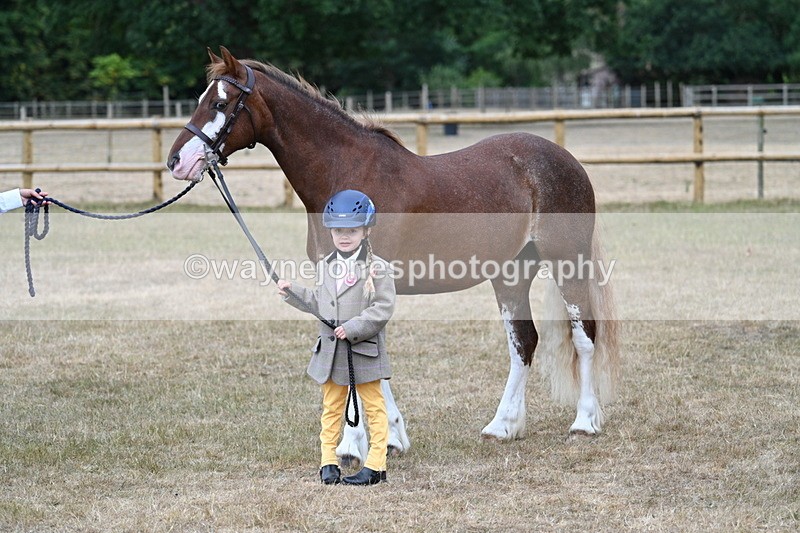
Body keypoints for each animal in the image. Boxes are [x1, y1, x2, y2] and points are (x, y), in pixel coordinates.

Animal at [167, 47, 619, 465]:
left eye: (220, 103)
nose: (177, 161)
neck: (348, 179)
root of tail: (566, 160)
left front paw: (357, 445)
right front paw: (387, 438)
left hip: (567, 262)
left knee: (584, 335)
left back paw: (584, 421)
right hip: (511, 273)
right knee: (523, 342)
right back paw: (502, 426)